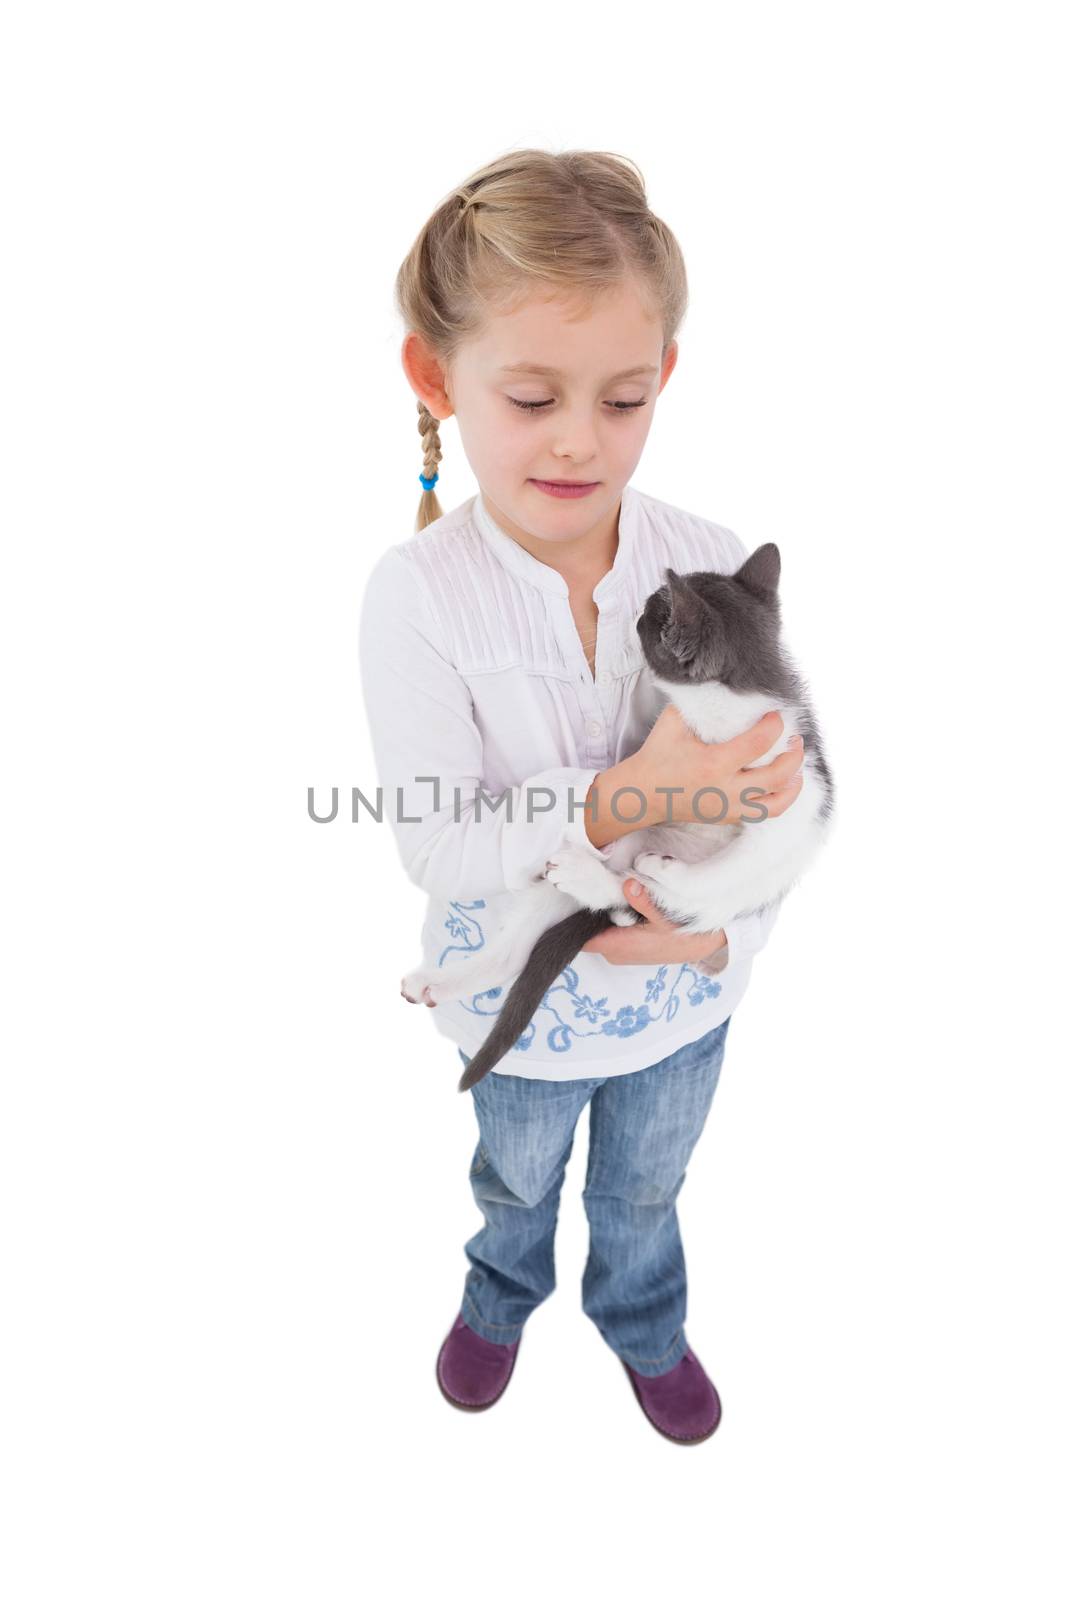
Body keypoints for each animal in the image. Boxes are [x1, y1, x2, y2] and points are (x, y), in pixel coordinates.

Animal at [398, 544, 831, 1094]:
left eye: (653, 616)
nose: (638, 609)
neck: (723, 718)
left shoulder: (799, 805)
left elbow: (730, 870)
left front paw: (670, 873)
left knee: (646, 900)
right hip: (604, 851)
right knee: (532, 944)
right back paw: (443, 976)